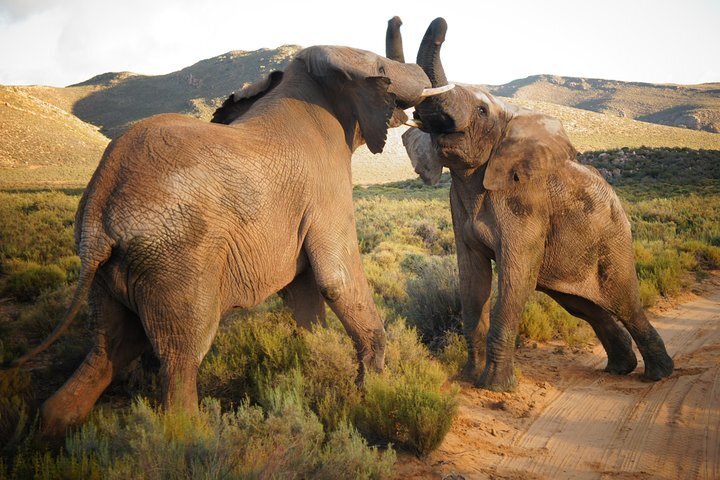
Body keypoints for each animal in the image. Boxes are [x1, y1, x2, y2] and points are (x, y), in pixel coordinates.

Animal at [9, 41, 450, 434]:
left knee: (109, 346)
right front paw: (375, 392)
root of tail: (100, 203)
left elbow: (304, 291)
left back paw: (54, 428)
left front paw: (314, 363)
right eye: (381, 68)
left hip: (113, 270)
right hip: (176, 257)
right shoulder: (326, 188)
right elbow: (336, 279)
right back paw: (191, 437)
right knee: (181, 353)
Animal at [390, 18, 672, 392]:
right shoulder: (458, 202)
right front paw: (468, 378)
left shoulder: (525, 202)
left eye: (481, 110)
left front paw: (494, 387)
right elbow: (472, 280)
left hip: (613, 239)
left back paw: (659, 374)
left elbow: (515, 277)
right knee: (585, 307)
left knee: (626, 303)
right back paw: (620, 368)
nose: (441, 23)